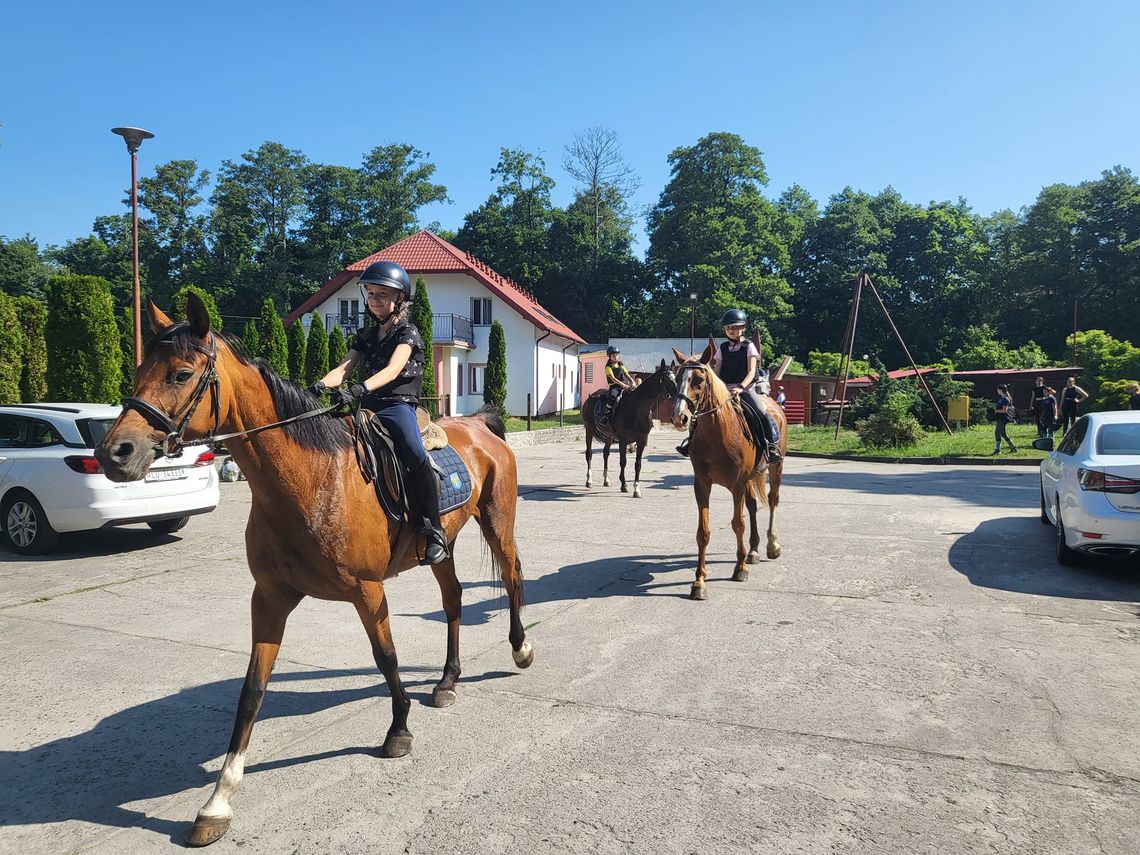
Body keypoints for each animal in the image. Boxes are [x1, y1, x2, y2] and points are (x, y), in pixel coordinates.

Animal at [92, 298, 528, 848]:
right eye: (139, 369)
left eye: (182, 374)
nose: (114, 452)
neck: (312, 480)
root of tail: (481, 426)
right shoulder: (269, 597)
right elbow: (252, 690)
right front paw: (218, 802)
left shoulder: (368, 591)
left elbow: (386, 657)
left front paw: (398, 731)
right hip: (442, 547)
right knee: (453, 599)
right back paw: (448, 681)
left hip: (498, 523)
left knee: (513, 578)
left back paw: (520, 649)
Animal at [579, 360, 674, 494]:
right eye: (665, 378)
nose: (676, 393)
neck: (636, 409)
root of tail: (590, 397)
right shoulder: (623, 440)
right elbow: (623, 462)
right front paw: (624, 485)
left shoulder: (642, 440)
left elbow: (638, 464)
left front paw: (637, 489)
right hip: (589, 428)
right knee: (589, 453)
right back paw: (589, 481)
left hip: (608, 436)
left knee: (605, 453)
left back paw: (606, 480)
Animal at [665, 344, 784, 601]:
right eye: (677, 378)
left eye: (699, 379)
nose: (679, 417)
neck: (718, 432)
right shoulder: (702, 484)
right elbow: (703, 532)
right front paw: (699, 582)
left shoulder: (737, 484)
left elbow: (737, 523)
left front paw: (740, 569)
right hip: (751, 477)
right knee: (752, 506)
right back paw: (753, 550)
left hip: (776, 468)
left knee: (772, 501)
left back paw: (771, 546)